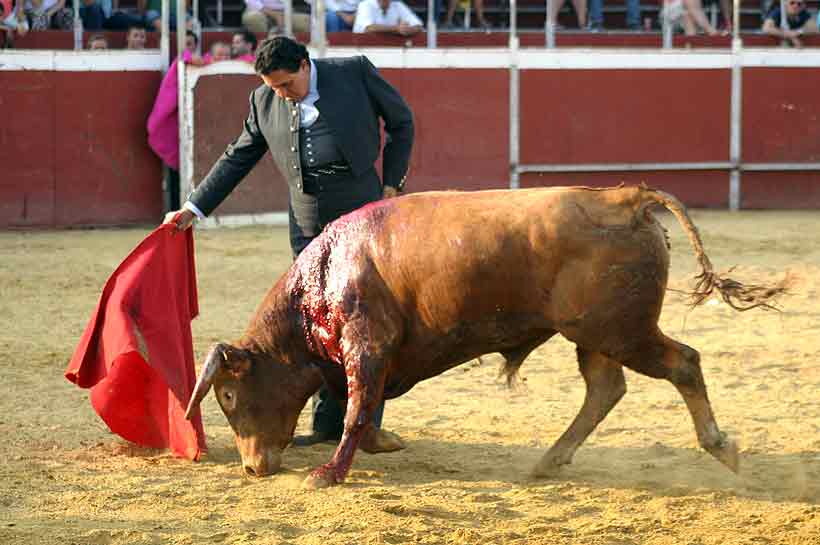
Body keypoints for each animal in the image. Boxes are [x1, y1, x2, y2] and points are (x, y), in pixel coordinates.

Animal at [183, 185, 784, 486]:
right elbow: (362, 406)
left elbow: (356, 408)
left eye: (228, 395)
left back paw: (722, 448)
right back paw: (549, 461)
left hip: (622, 329)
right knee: (606, 388)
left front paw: (328, 474)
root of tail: (626, 197)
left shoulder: (366, 345)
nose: (252, 467)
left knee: (682, 362)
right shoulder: (369, 356)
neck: (324, 275)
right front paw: (381, 443)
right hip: (595, 334)